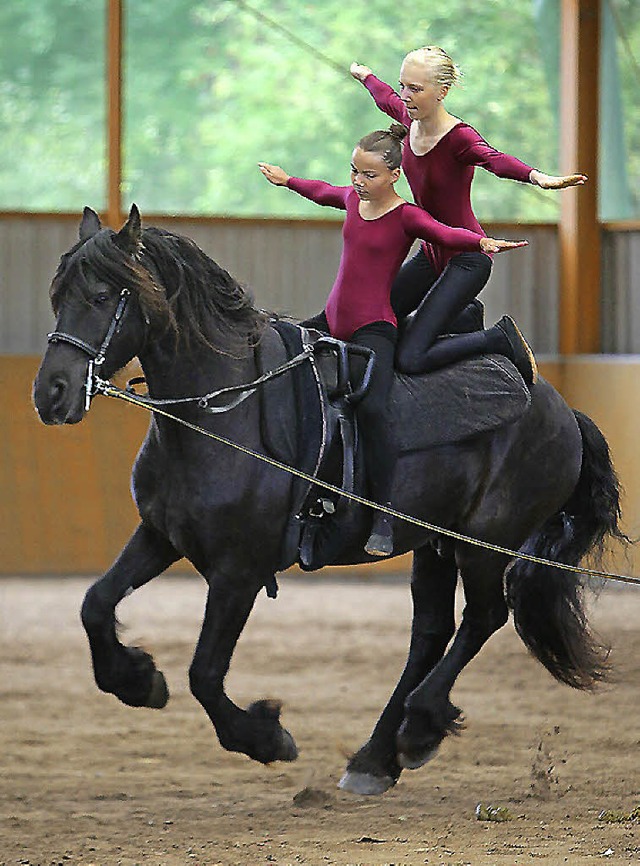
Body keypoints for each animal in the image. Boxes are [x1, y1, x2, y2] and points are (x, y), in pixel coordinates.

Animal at [33, 206, 624, 792]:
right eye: (57, 296)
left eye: (101, 297)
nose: (51, 394)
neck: (225, 410)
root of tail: (557, 407)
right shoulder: (161, 536)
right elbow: (95, 604)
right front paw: (137, 680)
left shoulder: (239, 571)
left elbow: (204, 673)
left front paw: (265, 737)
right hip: (433, 543)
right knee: (431, 633)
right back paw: (376, 758)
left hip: (482, 544)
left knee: (483, 618)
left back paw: (418, 728)